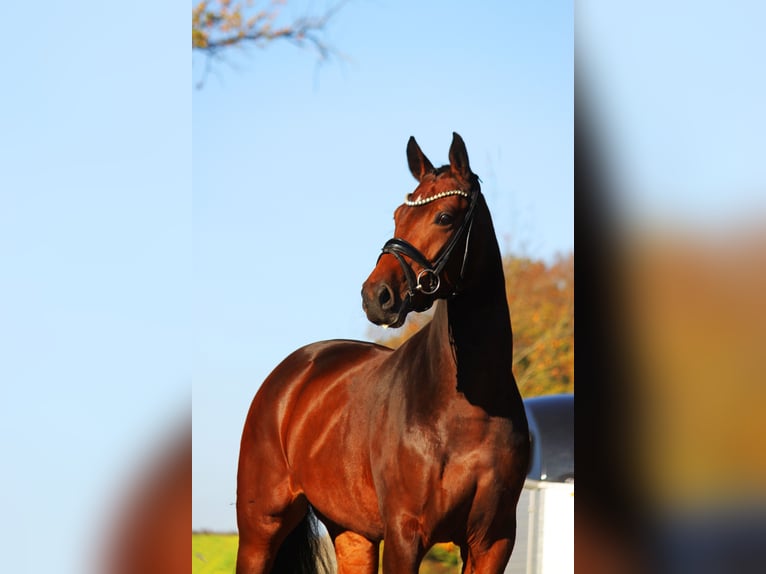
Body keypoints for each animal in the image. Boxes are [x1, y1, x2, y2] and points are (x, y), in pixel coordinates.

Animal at [237, 133, 532, 572]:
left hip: (351, 533)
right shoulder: (405, 535)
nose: (376, 296)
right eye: (397, 214)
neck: (468, 406)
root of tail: (292, 373)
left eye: (445, 216)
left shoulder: (492, 542)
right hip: (260, 530)